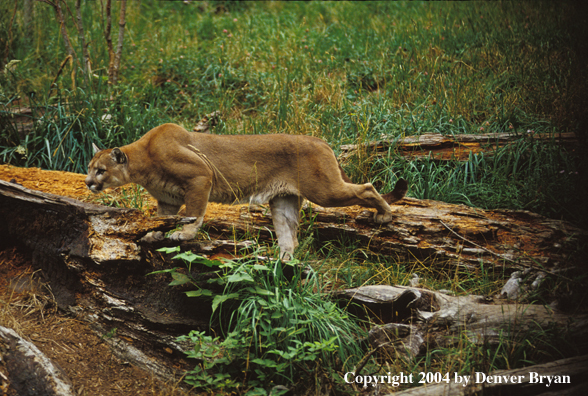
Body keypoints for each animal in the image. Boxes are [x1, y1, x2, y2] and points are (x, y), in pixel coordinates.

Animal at [87, 124, 406, 260]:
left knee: (367, 187)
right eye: (89, 168)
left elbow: (194, 213)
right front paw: (154, 234)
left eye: (100, 170)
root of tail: (320, 140)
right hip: (283, 201)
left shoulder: (200, 177)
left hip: (325, 190)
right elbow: (162, 217)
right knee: (290, 237)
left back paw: (385, 215)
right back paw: (282, 261)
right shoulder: (167, 199)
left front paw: (184, 235)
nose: (89, 183)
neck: (143, 161)